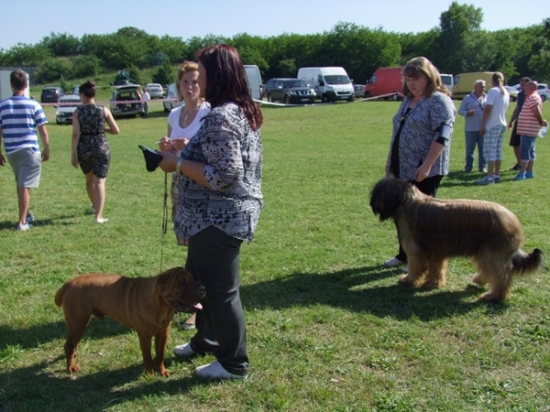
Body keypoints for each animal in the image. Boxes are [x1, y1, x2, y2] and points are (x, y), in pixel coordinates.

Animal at [55, 267, 205, 376]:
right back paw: (71, 367)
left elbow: (160, 355)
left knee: (73, 345)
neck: (161, 306)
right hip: (78, 323)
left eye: (193, 278)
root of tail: (70, 282)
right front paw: (149, 373)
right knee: (68, 345)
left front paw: (162, 371)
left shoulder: (163, 334)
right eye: (182, 283)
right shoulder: (144, 336)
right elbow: (147, 356)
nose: (203, 288)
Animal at [370, 177, 543, 301]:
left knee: (502, 275)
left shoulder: (416, 250)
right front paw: (433, 284)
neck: (406, 200)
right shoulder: (436, 251)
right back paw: (480, 280)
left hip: (491, 252)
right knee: (492, 271)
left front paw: (408, 279)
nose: (371, 204)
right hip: (484, 251)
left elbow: (416, 266)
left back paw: (494, 295)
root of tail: (513, 221)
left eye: (377, 193)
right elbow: (436, 269)